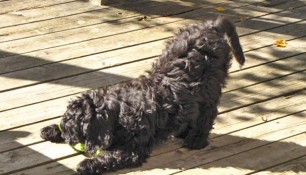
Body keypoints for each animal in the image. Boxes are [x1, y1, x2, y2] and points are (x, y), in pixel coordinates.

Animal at [40, 16, 245, 174]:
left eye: (76, 128)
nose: (67, 136)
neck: (120, 112)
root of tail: (211, 26)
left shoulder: (133, 150)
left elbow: (111, 157)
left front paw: (87, 164)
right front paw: (52, 129)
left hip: (210, 88)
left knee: (207, 114)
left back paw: (196, 140)